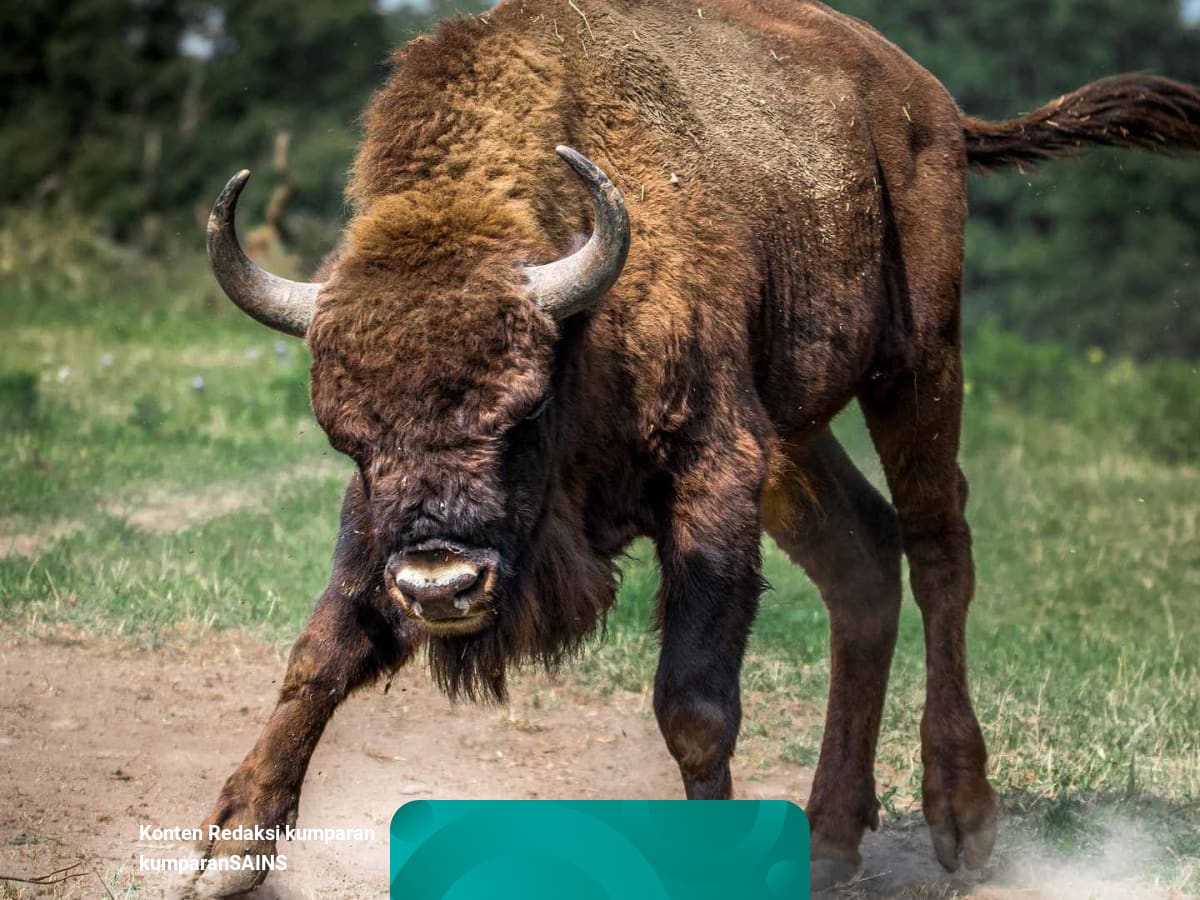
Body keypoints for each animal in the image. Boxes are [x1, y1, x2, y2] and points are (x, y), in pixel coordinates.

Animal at [187, 1, 1200, 895]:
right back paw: (829, 842)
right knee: (863, 560)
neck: (580, 317)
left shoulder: (716, 472)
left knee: (937, 546)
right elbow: (321, 650)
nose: (441, 585)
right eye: (347, 436)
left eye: (523, 412)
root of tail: (930, 103)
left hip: (915, 364)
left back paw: (961, 816)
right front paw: (228, 849)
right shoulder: (381, 524)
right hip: (795, 432)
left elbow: (695, 705)